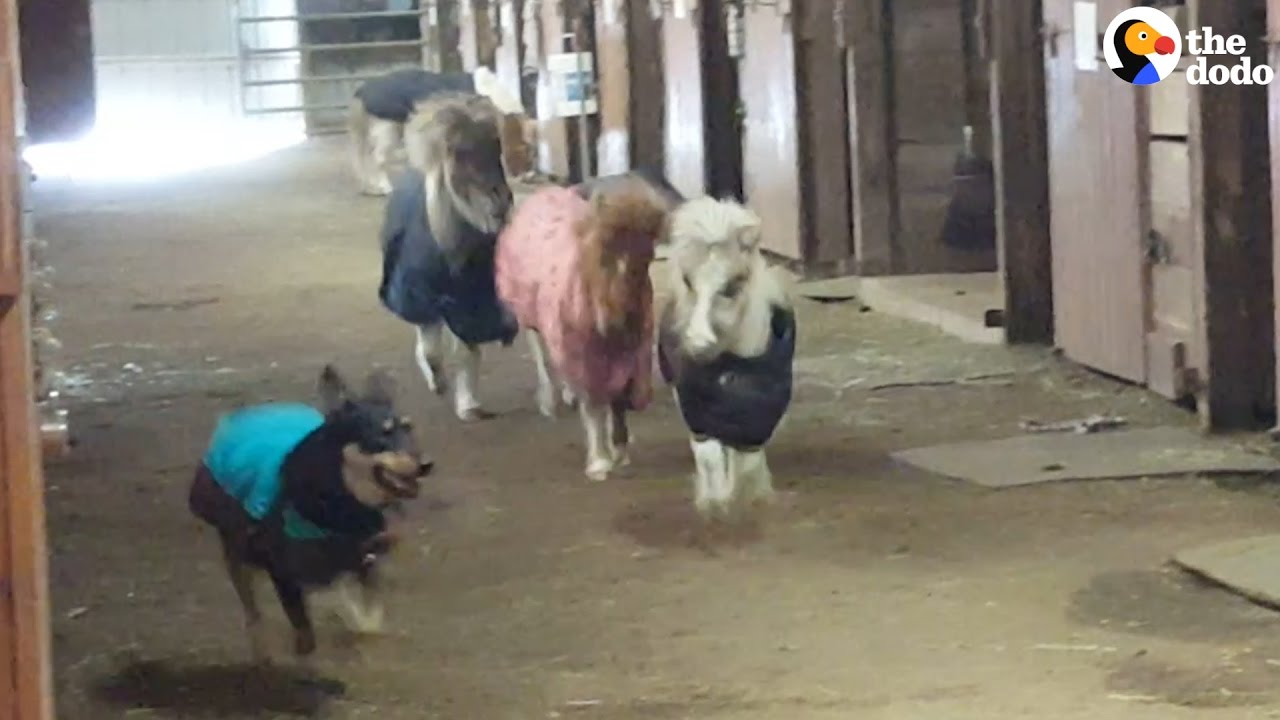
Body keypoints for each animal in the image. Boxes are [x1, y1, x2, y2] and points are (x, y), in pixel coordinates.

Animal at [186, 363, 432, 661]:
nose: (426, 464)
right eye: (380, 434)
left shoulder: (362, 561)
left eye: (409, 428)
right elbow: (306, 632)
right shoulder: (284, 574)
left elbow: (368, 618)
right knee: (252, 609)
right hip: (237, 552)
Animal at [376, 92, 517, 422]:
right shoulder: (419, 294)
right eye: (458, 152)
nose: (501, 201)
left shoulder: (473, 300)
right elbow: (431, 350)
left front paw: (468, 405)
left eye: (497, 145)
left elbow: (467, 349)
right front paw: (437, 382)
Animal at [491, 178, 665, 479]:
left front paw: (620, 450)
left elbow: (619, 402)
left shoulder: (633, 359)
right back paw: (549, 400)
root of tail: (543, 192)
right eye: (603, 256)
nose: (620, 321)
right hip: (530, 315)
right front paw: (600, 462)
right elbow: (593, 406)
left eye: (647, 258)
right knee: (541, 354)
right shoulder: (583, 356)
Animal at [660, 197, 788, 515]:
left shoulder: (759, 415)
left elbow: (747, 462)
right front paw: (715, 503)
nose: (698, 343)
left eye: (733, 284)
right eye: (687, 280)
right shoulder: (697, 413)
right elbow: (709, 458)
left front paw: (750, 498)